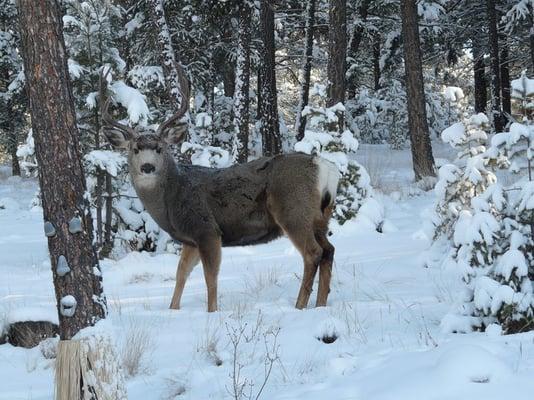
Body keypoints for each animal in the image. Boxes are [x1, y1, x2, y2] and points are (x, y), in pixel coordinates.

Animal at [101, 69, 340, 312]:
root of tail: (325, 168)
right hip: (321, 217)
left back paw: (299, 305)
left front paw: (212, 311)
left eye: (160, 148)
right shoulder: (191, 240)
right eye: (135, 149)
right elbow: (181, 274)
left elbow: (210, 277)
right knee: (329, 251)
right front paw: (173, 309)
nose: (147, 167)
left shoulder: (207, 229)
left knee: (313, 253)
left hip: (293, 210)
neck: (172, 198)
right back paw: (321, 304)